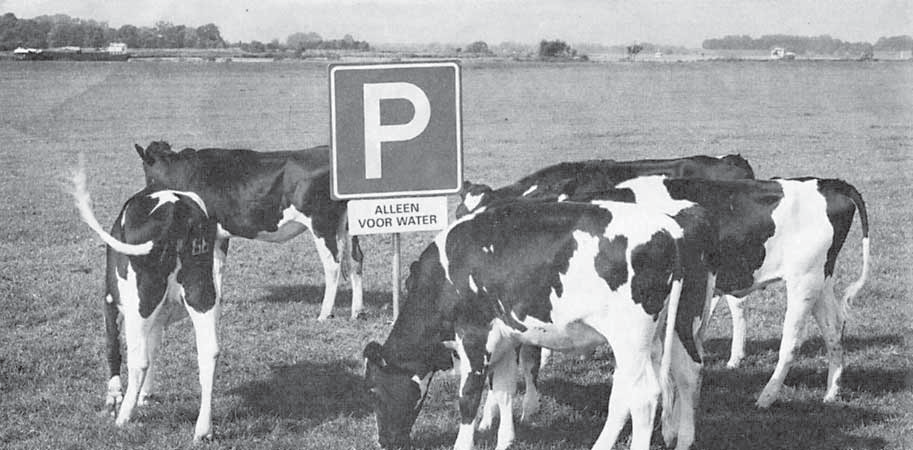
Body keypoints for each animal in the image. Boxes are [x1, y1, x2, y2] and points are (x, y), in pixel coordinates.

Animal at [70, 167, 220, 442]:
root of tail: (176, 209)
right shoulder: (160, 316)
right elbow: (154, 347)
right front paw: (145, 396)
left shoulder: (110, 301)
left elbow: (113, 347)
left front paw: (114, 398)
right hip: (202, 292)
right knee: (209, 351)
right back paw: (203, 429)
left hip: (138, 302)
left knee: (138, 360)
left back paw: (123, 418)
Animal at [135, 141, 364, 320]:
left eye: (145, 168)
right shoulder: (220, 233)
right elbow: (219, 266)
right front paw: (218, 299)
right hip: (347, 225)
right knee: (355, 259)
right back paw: (356, 311)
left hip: (321, 223)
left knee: (333, 265)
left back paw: (324, 313)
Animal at [360, 202, 708, 450]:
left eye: (374, 389)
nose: (384, 442)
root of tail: (667, 227)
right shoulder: (505, 340)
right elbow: (502, 390)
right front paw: (504, 441)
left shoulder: (474, 334)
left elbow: (469, 397)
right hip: (676, 325)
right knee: (684, 373)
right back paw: (683, 440)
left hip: (631, 336)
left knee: (644, 395)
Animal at [576, 176, 868, 408]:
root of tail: (827, 184)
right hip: (820, 279)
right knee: (833, 328)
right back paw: (831, 393)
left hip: (803, 281)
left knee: (792, 341)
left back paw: (766, 397)